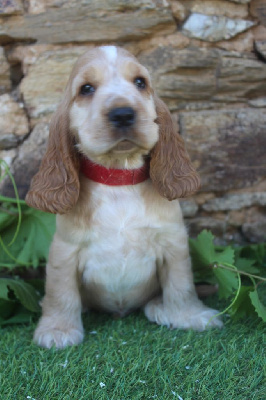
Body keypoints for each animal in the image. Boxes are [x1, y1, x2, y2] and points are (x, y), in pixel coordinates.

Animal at [26, 45, 222, 348]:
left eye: (140, 82)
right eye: (86, 88)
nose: (123, 114)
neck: (118, 178)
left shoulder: (173, 243)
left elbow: (181, 285)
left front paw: (190, 316)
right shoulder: (65, 249)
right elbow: (61, 292)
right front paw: (58, 330)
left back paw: (160, 309)